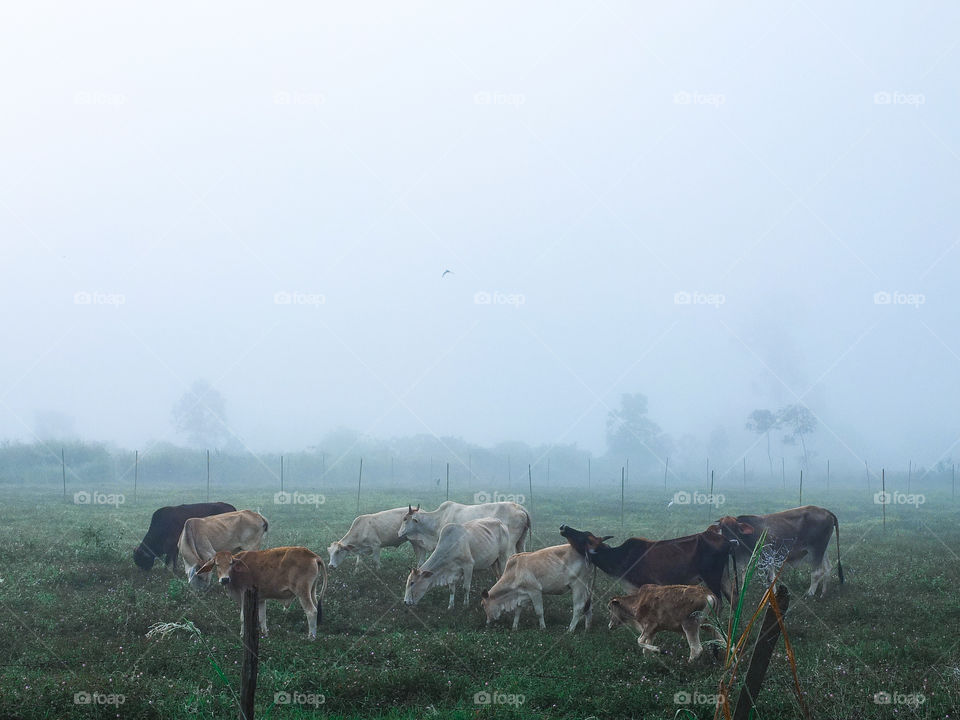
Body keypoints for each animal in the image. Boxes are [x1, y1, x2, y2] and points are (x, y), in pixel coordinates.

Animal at [197, 547, 328, 640]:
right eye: (217, 564)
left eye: (230, 563)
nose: (224, 579)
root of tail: (313, 555)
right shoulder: (260, 599)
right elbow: (262, 618)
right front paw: (264, 633)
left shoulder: (244, 596)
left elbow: (243, 617)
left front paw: (242, 634)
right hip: (311, 591)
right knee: (316, 607)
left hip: (302, 592)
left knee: (311, 611)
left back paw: (311, 637)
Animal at [559, 525, 735, 605]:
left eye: (584, 538)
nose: (564, 527)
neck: (619, 559)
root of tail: (728, 542)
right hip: (724, 578)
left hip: (712, 578)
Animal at [709, 505, 844, 597]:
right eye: (723, 528)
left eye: (735, 528)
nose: (732, 542)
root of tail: (825, 511)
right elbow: (745, 576)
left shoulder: (767, 556)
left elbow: (770, 578)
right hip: (823, 550)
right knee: (828, 568)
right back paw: (823, 593)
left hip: (816, 550)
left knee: (817, 572)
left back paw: (810, 593)